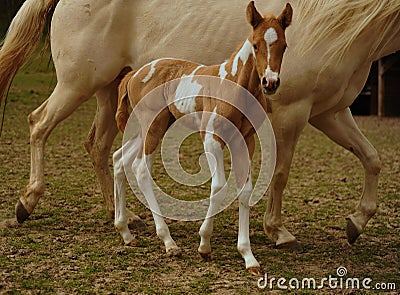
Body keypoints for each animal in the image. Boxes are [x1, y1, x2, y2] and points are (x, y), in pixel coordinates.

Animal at [112, 1, 290, 276]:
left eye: (283, 46)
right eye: (256, 44)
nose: (270, 82)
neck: (234, 85)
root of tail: (134, 74)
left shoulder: (245, 142)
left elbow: (245, 191)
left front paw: (248, 256)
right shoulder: (211, 138)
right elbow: (218, 187)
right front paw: (204, 244)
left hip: (147, 129)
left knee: (119, 160)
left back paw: (126, 233)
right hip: (153, 127)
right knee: (140, 168)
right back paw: (169, 242)